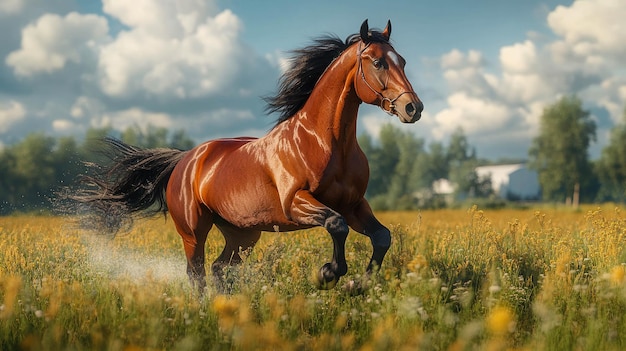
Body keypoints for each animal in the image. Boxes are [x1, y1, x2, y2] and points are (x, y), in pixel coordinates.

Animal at [74, 20, 424, 294]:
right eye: (377, 62)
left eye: (404, 61)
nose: (413, 108)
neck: (326, 142)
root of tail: (185, 159)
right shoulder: (296, 203)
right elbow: (337, 226)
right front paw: (327, 274)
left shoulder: (353, 204)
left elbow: (381, 236)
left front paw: (355, 286)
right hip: (194, 232)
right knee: (197, 273)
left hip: (242, 234)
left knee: (219, 269)